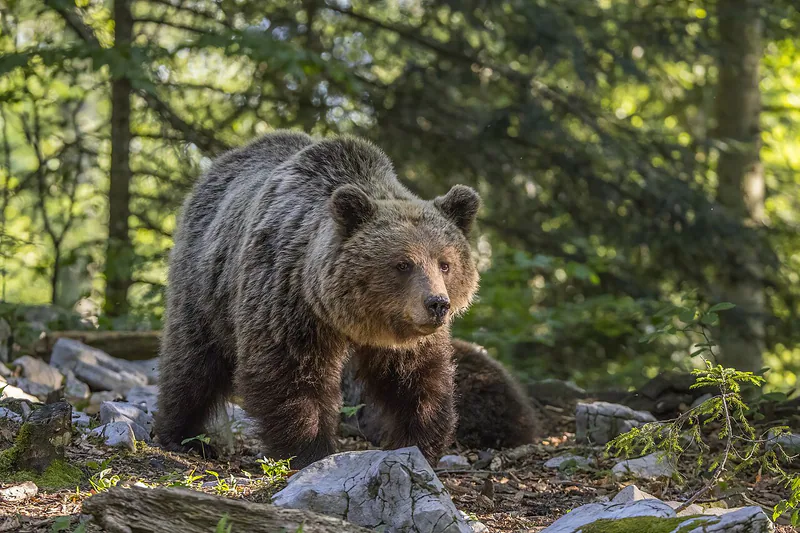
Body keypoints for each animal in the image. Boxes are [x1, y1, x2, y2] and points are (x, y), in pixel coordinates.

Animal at [155, 130, 481, 468]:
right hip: (206, 285)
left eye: (445, 263)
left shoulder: (405, 335)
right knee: (193, 362)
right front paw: (310, 449)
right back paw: (184, 436)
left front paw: (419, 442)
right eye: (403, 264)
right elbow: (290, 374)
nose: (437, 304)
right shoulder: (288, 300)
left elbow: (417, 380)